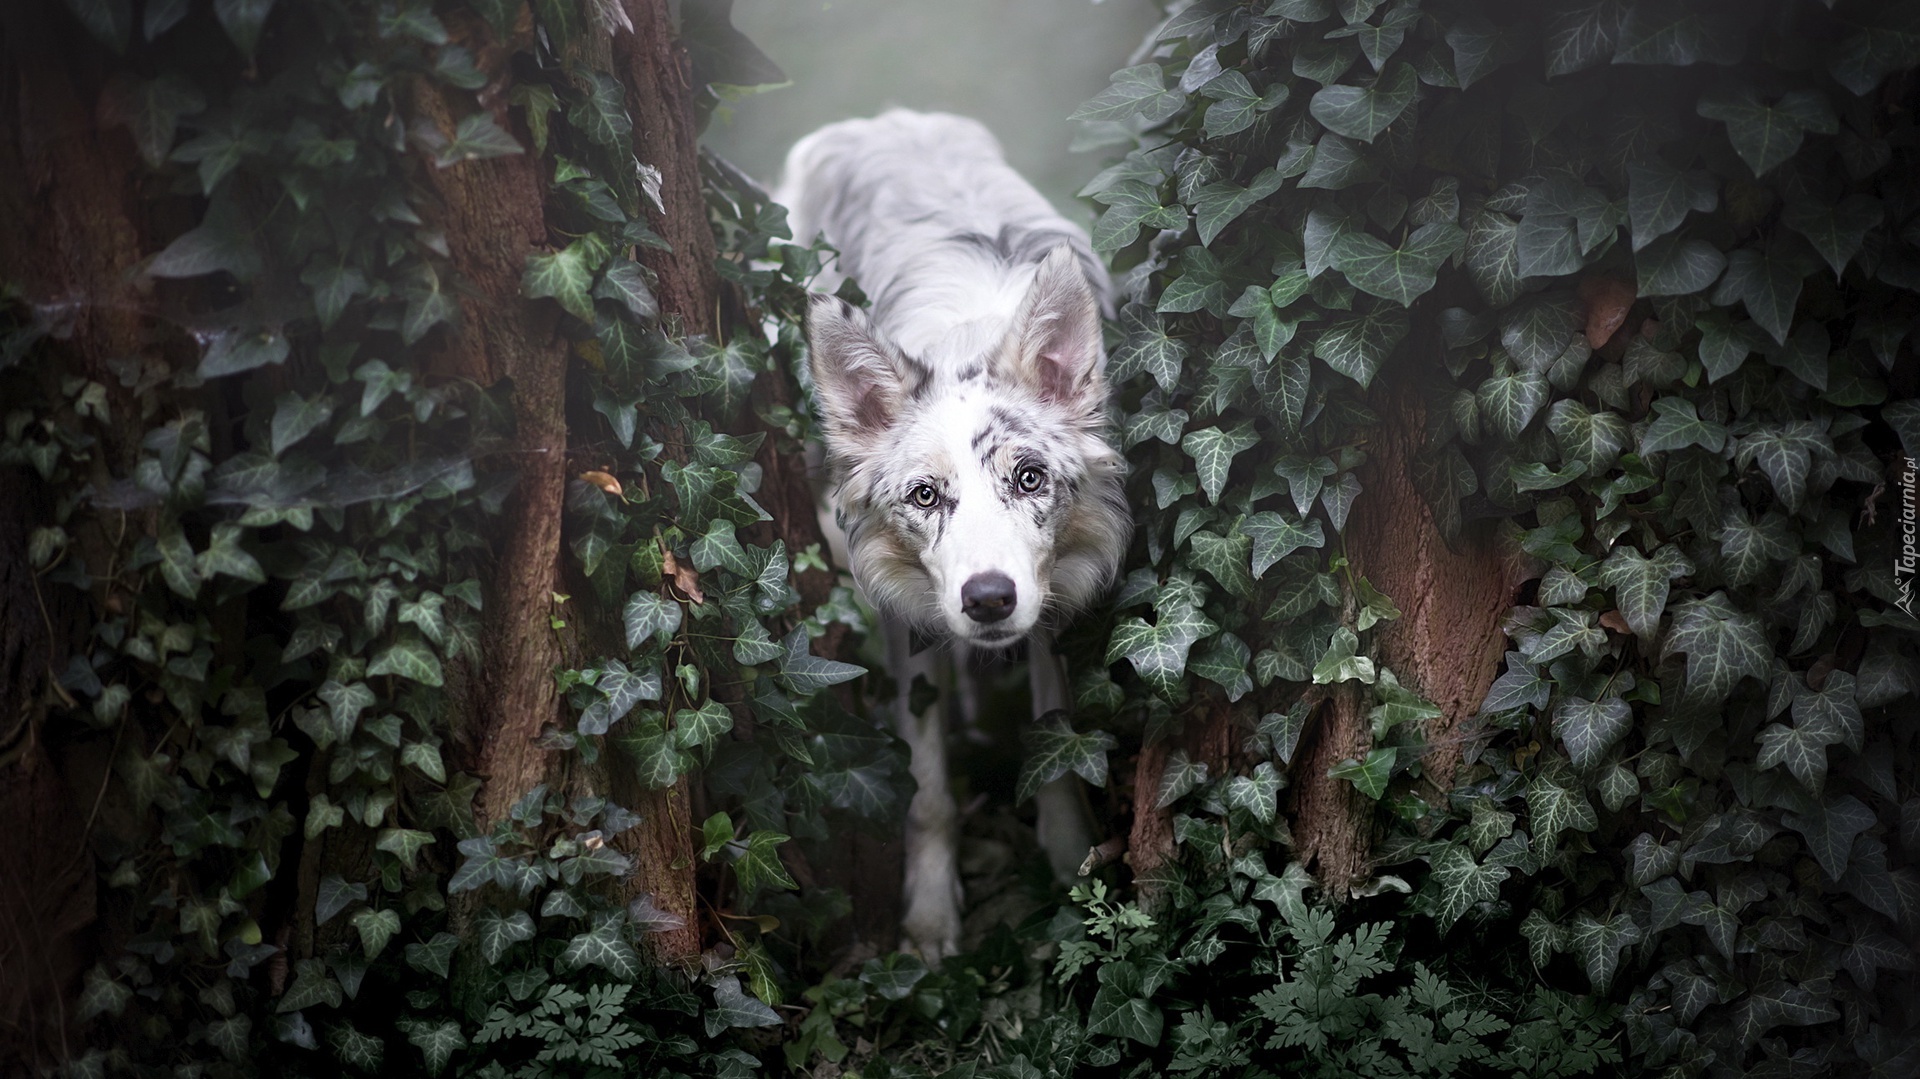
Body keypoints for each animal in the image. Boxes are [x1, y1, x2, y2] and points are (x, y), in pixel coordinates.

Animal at [779, 109, 1128, 952]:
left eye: (1029, 479)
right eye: (926, 495)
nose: (988, 599)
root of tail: (880, 118)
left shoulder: (1053, 594)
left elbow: (1053, 737)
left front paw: (1069, 859)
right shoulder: (906, 608)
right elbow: (927, 785)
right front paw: (931, 919)